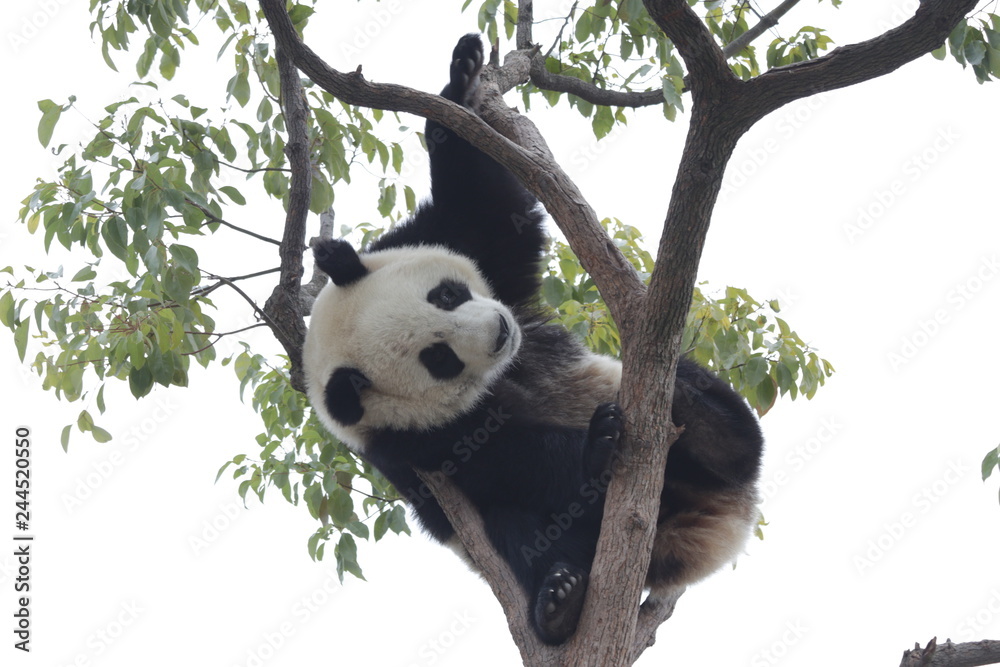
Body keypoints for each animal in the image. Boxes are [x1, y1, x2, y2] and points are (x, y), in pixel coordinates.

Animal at [303, 34, 763, 645]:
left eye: (445, 295)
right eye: (438, 358)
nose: (501, 331)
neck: (504, 372)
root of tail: (705, 539)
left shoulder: (447, 245)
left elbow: (487, 212)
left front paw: (461, 80)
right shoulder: (412, 445)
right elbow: (513, 465)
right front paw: (595, 450)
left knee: (731, 434)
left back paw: (703, 418)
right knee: (523, 526)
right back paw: (559, 601)